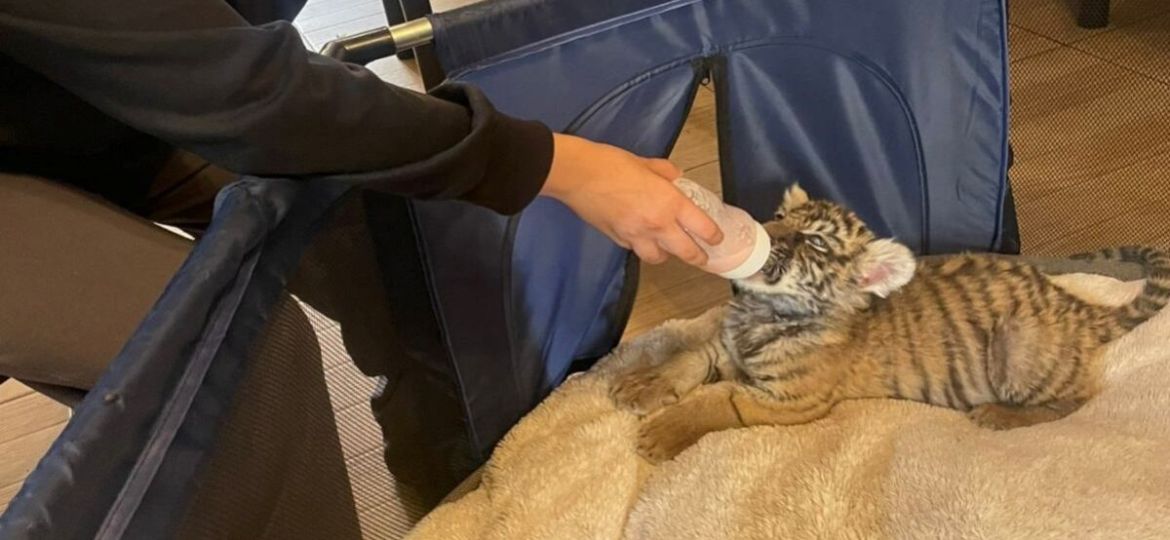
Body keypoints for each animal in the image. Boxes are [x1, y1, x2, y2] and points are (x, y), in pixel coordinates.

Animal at [611, 184, 1170, 463]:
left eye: (814, 242)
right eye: (780, 217)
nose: (762, 233)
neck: (765, 311)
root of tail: (1072, 304)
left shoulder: (792, 400)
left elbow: (716, 400)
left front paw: (660, 434)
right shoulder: (725, 348)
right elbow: (687, 359)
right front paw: (640, 384)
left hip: (1019, 346)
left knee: (1076, 399)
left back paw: (998, 416)